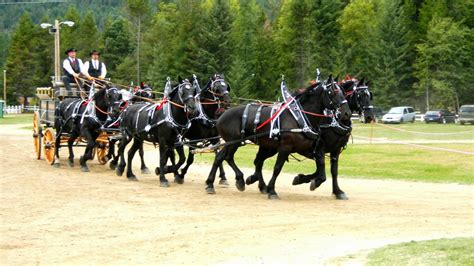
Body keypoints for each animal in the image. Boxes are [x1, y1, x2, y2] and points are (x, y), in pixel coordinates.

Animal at [206, 76, 350, 198]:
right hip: (233, 142)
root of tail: (222, 114)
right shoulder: (286, 147)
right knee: (226, 157)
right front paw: (272, 190)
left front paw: (334, 190)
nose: (347, 113)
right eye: (332, 92)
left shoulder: (320, 150)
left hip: (248, 144)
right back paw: (230, 181)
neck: (300, 118)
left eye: (343, 92)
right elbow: (277, 168)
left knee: (227, 158)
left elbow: (327, 171)